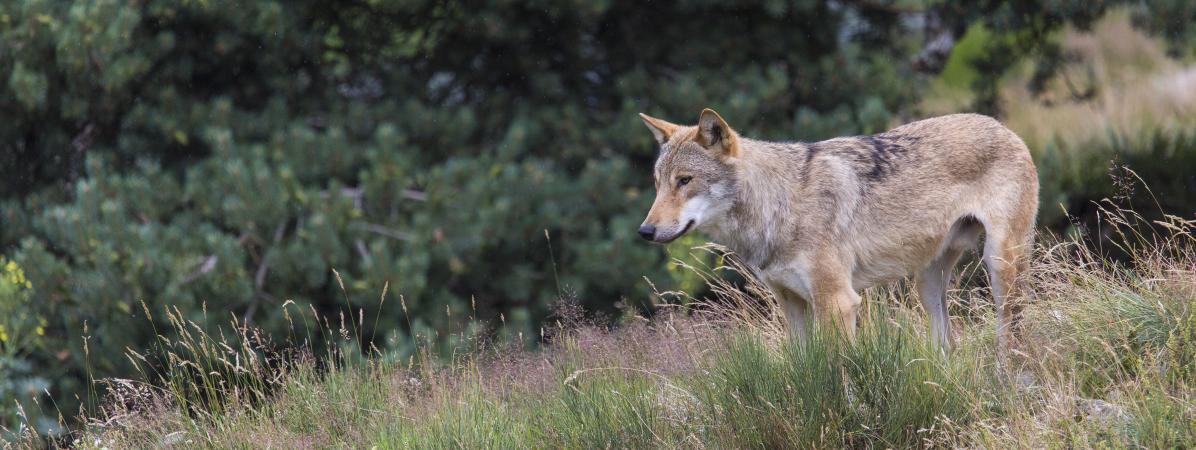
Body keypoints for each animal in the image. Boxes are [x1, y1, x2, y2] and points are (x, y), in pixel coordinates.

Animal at [636, 108, 1038, 351]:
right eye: (658, 184)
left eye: (684, 181)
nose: (645, 231)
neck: (780, 203)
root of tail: (1003, 127)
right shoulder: (792, 304)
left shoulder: (837, 303)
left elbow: (838, 373)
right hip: (927, 284)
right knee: (947, 347)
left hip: (1000, 268)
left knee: (1012, 337)